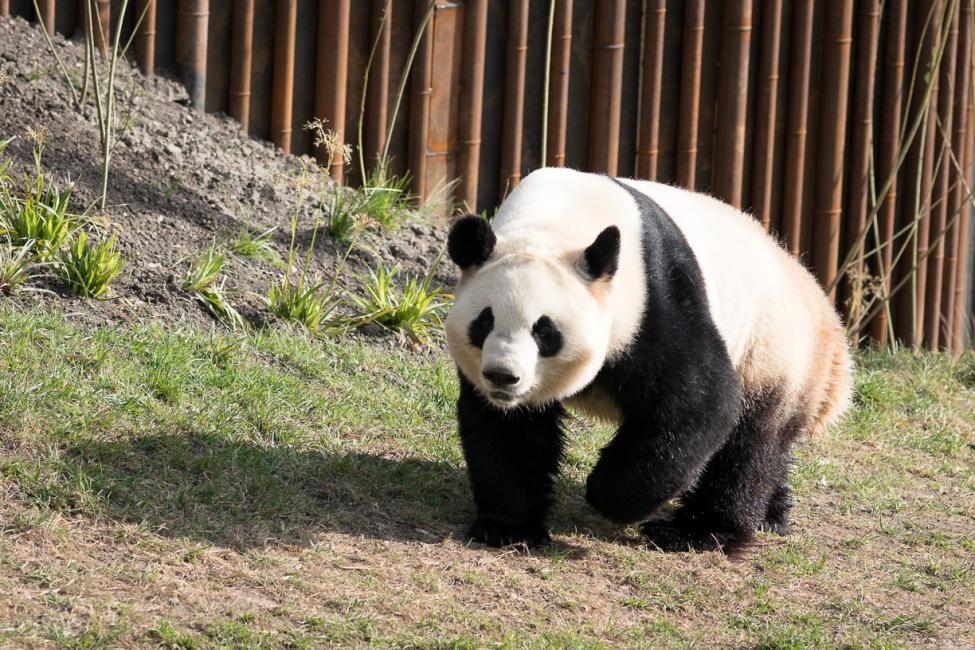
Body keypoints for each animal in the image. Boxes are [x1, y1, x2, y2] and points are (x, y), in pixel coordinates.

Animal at [446, 167, 852, 552]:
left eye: (544, 331)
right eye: (484, 321)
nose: (503, 376)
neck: (555, 220)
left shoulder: (657, 297)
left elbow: (700, 401)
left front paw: (608, 495)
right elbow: (509, 433)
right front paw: (508, 527)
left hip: (770, 350)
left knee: (750, 447)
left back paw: (697, 532)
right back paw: (772, 515)